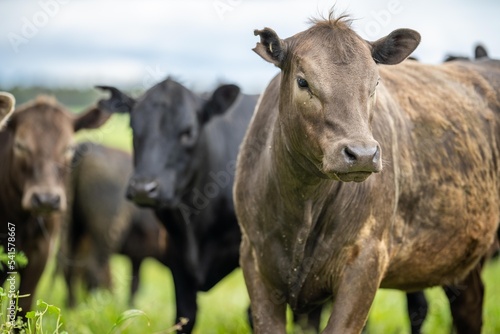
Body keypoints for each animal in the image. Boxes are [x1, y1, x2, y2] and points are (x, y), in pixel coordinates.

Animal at [58, 141, 168, 306]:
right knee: (93, 268)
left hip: (73, 228)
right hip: (104, 233)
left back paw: (73, 306)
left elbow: (134, 284)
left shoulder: (138, 257)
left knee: (70, 265)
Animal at [96, 79, 258, 332]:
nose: (143, 188)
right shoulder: (176, 252)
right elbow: (185, 316)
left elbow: (254, 314)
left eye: (188, 132)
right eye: (133, 127)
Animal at [234, 13, 500, 334]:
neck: (301, 211)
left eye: (375, 83)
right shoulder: (254, 259)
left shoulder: (366, 260)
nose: (362, 154)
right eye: (303, 81)